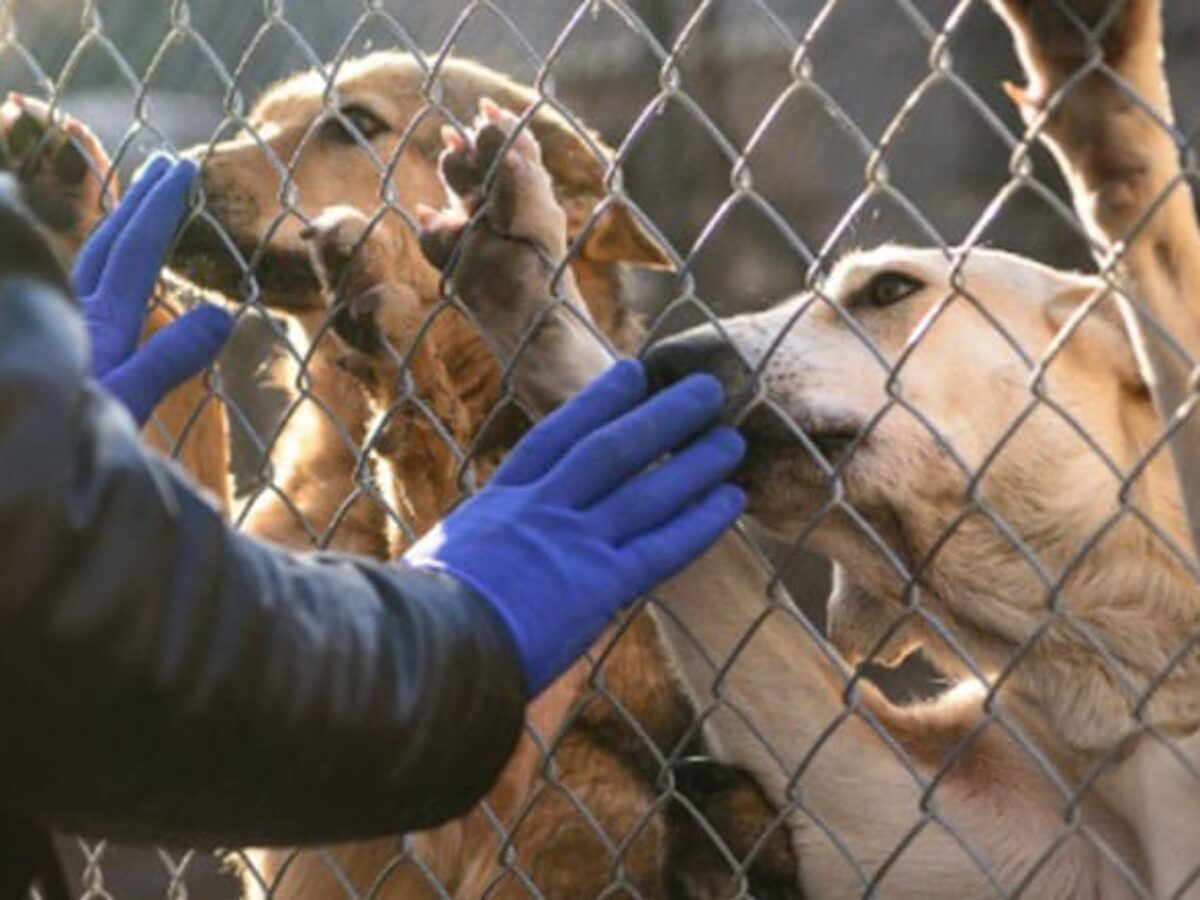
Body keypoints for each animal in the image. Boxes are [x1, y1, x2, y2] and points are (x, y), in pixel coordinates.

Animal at [388, 0, 1195, 897]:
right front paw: (521, 271)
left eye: (889, 288)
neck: (1113, 660)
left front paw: (1106, 109)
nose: (667, 365)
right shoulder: (924, 817)